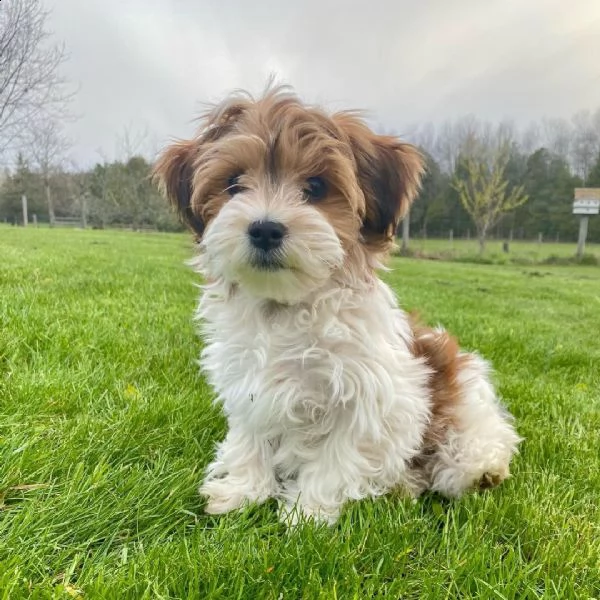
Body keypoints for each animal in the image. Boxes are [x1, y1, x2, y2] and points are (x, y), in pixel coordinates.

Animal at [154, 85, 520, 524]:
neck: (287, 306)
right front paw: (242, 490)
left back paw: (475, 470)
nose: (265, 228)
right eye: (234, 183)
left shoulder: (373, 395)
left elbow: (339, 454)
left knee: (478, 437)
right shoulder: (248, 386)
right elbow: (250, 438)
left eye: (315, 187)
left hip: (463, 387)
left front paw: (306, 512)